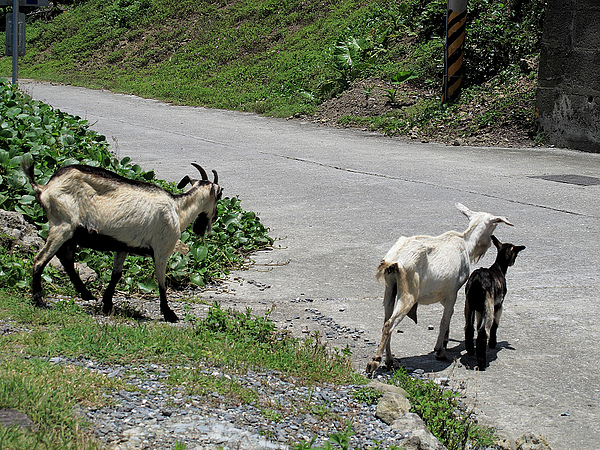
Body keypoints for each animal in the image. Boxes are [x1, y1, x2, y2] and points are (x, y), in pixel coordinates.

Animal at [21, 160, 224, 322]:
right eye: (219, 196)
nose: (214, 218)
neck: (178, 209)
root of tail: (45, 188)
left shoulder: (124, 245)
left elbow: (116, 275)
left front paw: (107, 304)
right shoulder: (162, 250)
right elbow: (161, 283)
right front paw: (169, 314)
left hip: (71, 233)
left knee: (67, 259)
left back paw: (87, 295)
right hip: (62, 226)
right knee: (40, 260)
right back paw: (39, 301)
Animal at [368, 203, 512, 372]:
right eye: (494, 224)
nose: (488, 244)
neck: (466, 245)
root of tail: (394, 260)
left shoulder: (444, 293)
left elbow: (449, 316)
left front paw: (444, 343)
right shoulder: (453, 292)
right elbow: (445, 319)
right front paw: (440, 351)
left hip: (391, 288)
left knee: (386, 318)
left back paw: (390, 360)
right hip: (409, 293)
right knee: (389, 323)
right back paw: (374, 362)